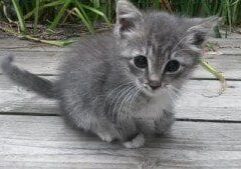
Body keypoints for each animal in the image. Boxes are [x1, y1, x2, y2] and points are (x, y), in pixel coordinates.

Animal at [0, 0, 218, 148]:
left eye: (172, 65)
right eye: (140, 61)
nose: (154, 83)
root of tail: (60, 87)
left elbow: (164, 113)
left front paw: (164, 122)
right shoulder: (110, 99)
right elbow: (121, 122)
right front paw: (132, 138)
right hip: (78, 102)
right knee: (82, 118)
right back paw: (104, 131)